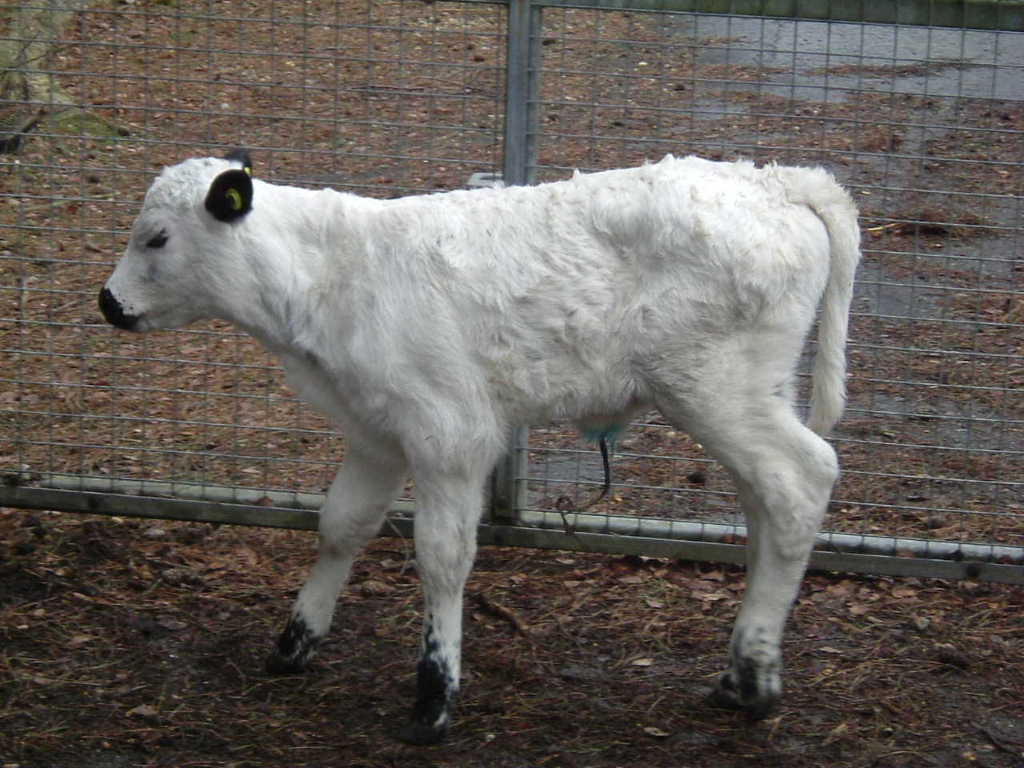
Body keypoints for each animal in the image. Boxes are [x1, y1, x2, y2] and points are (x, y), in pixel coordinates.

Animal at [99, 150, 860, 745]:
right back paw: (740, 669)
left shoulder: (449, 432)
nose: (108, 303)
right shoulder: (377, 433)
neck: (334, 275)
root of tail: (780, 181)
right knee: (765, 504)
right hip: (750, 391)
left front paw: (434, 694)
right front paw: (295, 642)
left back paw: (756, 675)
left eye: (157, 239)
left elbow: (442, 557)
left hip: (715, 386)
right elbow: (341, 526)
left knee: (801, 480)